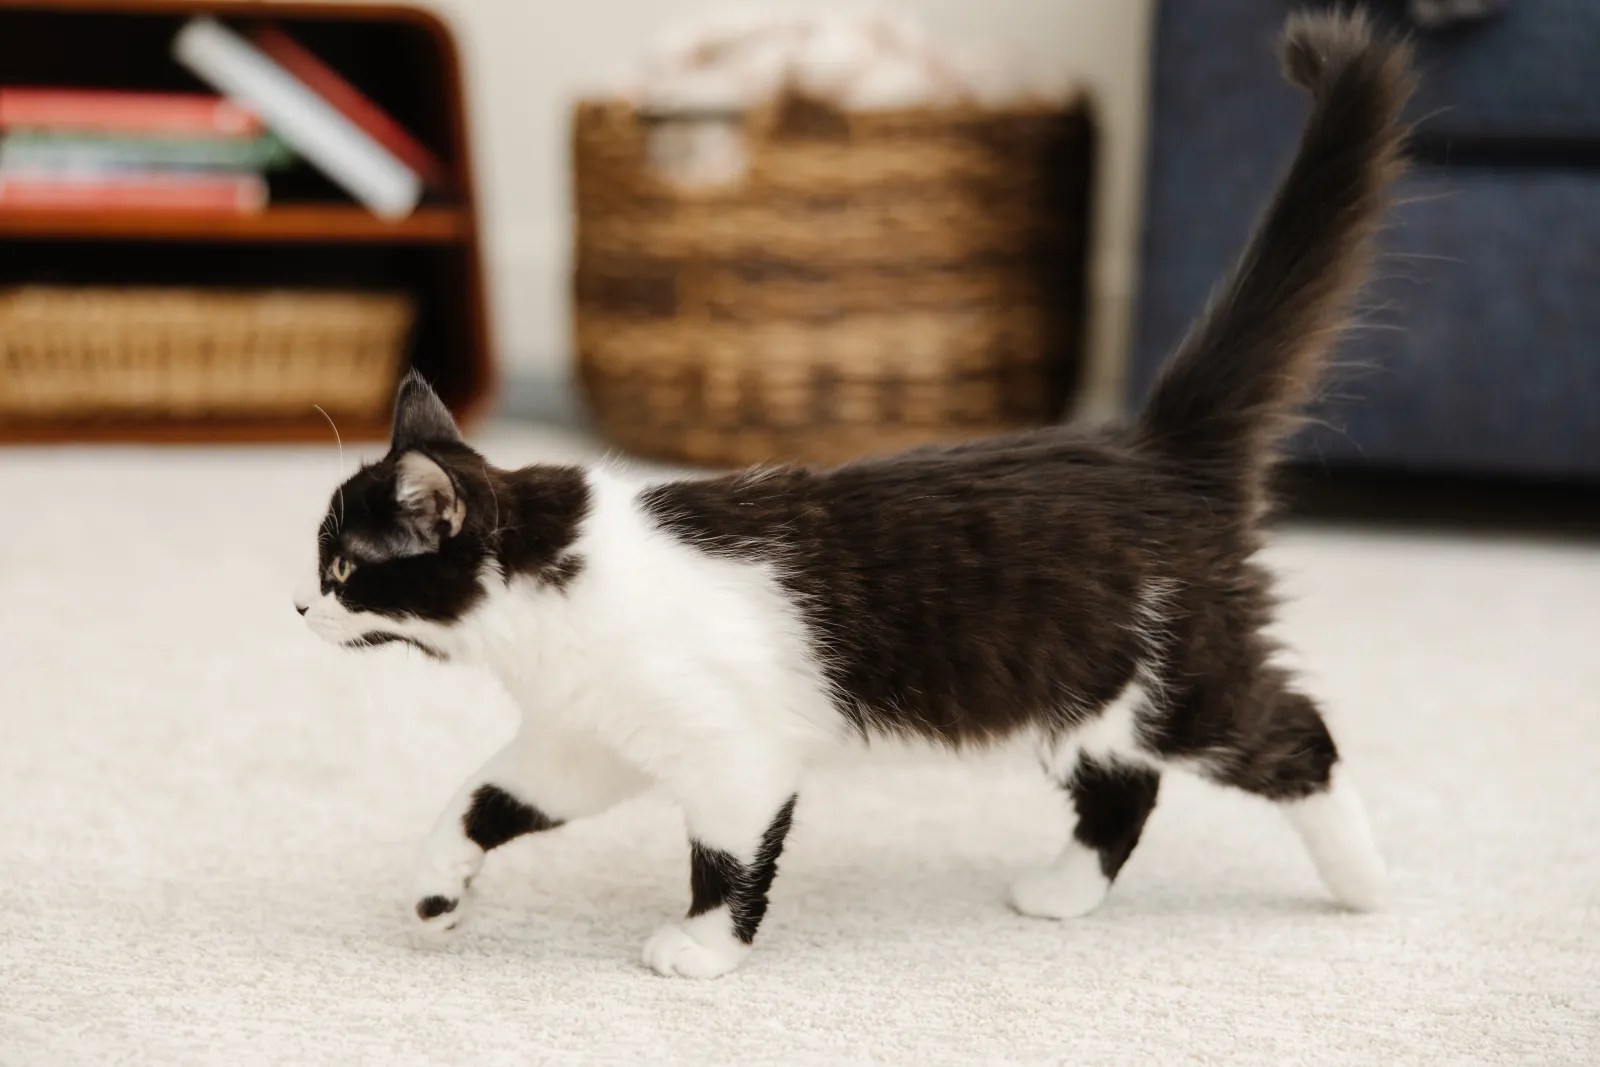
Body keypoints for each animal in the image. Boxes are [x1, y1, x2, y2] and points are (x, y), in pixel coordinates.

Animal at [297, 10, 1414, 979]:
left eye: (345, 564)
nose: (300, 605)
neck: (549, 606)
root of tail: (1151, 447)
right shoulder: (584, 737)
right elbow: (483, 793)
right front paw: (437, 888)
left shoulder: (733, 749)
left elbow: (726, 854)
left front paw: (702, 950)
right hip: (1076, 687)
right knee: (1122, 784)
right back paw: (1063, 891)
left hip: (1176, 675)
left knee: (1296, 735)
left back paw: (1363, 882)